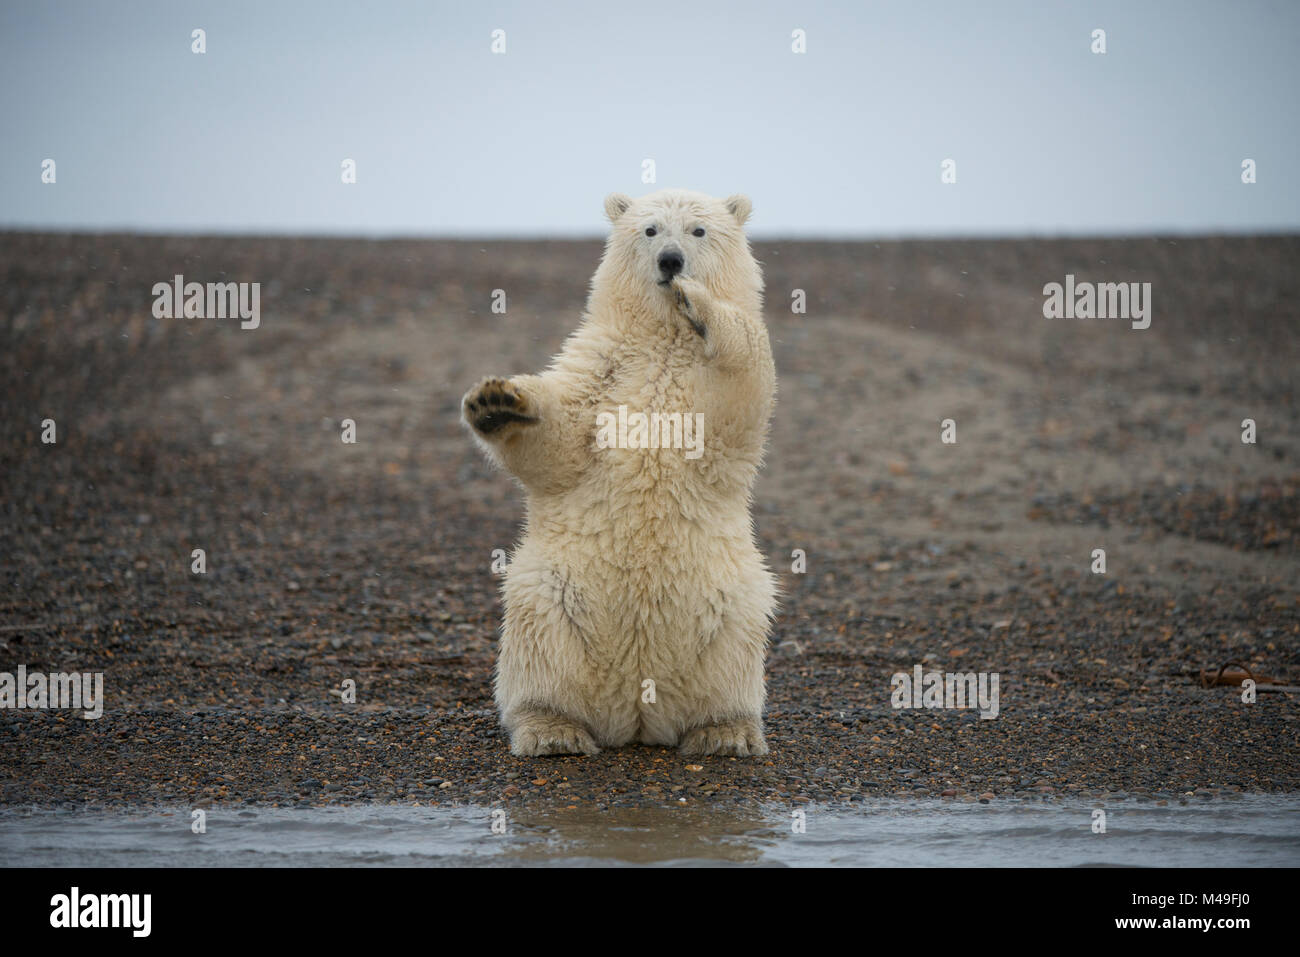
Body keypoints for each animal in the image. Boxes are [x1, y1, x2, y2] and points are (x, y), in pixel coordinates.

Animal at [461, 188, 777, 757]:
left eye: (697, 231)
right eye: (650, 230)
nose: (671, 262)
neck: (661, 340)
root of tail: (638, 714)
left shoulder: (708, 385)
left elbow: (744, 379)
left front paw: (698, 302)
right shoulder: (601, 365)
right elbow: (562, 439)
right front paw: (496, 401)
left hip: (730, 603)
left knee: (734, 653)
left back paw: (726, 733)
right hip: (555, 595)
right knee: (540, 648)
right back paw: (552, 730)